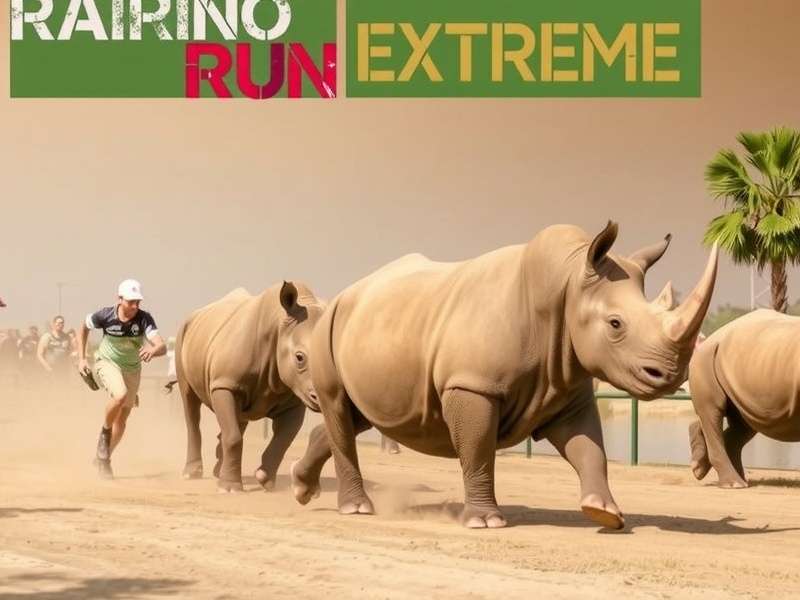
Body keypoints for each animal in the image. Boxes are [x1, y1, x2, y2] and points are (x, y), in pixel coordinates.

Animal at [176, 282, 324, 492]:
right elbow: (234, 437)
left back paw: (218, 469)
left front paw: (264, 479)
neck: (277, 326)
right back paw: (192, 474)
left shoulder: (294, 397)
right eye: (299, 357)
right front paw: (230, 488)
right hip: (183, 335)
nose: (320, 398)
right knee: (190, 404)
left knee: (239, 418)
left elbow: (284, 438)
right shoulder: (224, 384)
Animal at [290, 222, 719, 529]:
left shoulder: (566, 385)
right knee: (338, 405)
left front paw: (605, 512)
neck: (566, 285)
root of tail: (344, 293)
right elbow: (478, 449)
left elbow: (589, 448)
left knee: (358, 415)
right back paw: (357, 510)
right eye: (615, 324)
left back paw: (301, 488)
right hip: (327, 327)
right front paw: (486, 521)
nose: (670, 374)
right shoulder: (473, 385)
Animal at [688, 309, 800, 488]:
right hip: (705, 359)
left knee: (744, 421)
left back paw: (703, 469)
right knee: (714, 412)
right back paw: (733, 484)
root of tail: (711, 337)